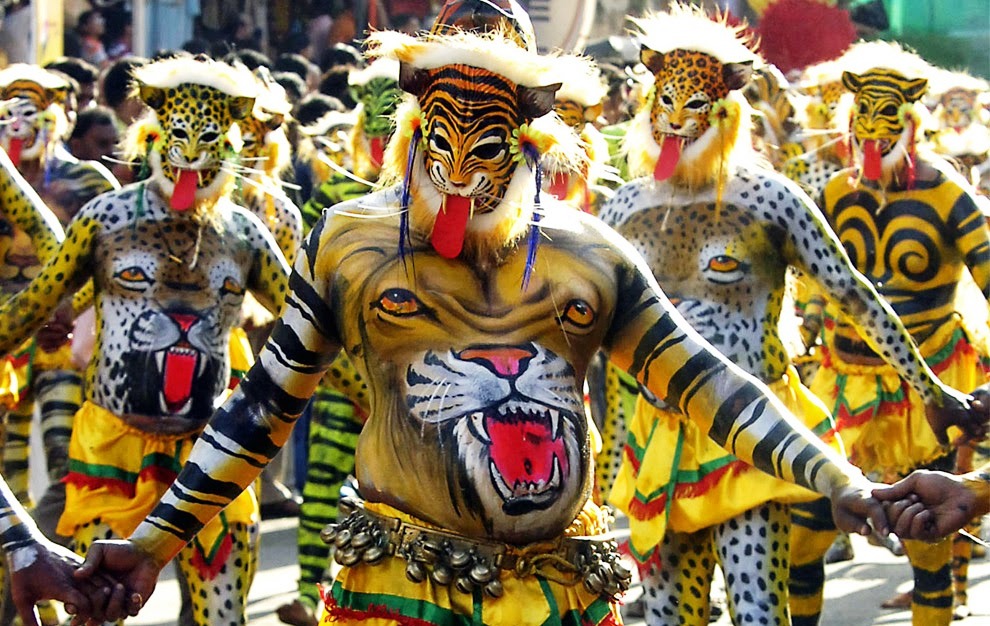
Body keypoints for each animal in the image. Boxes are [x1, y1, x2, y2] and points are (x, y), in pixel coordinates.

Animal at [71, 27, 890, 626]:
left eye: (492, 145)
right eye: (437, 138)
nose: (505, 363)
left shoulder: (624, 269)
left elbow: (712, 381)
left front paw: (856, 491)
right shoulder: (313, 261)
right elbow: (262, 403)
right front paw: (128, 562)